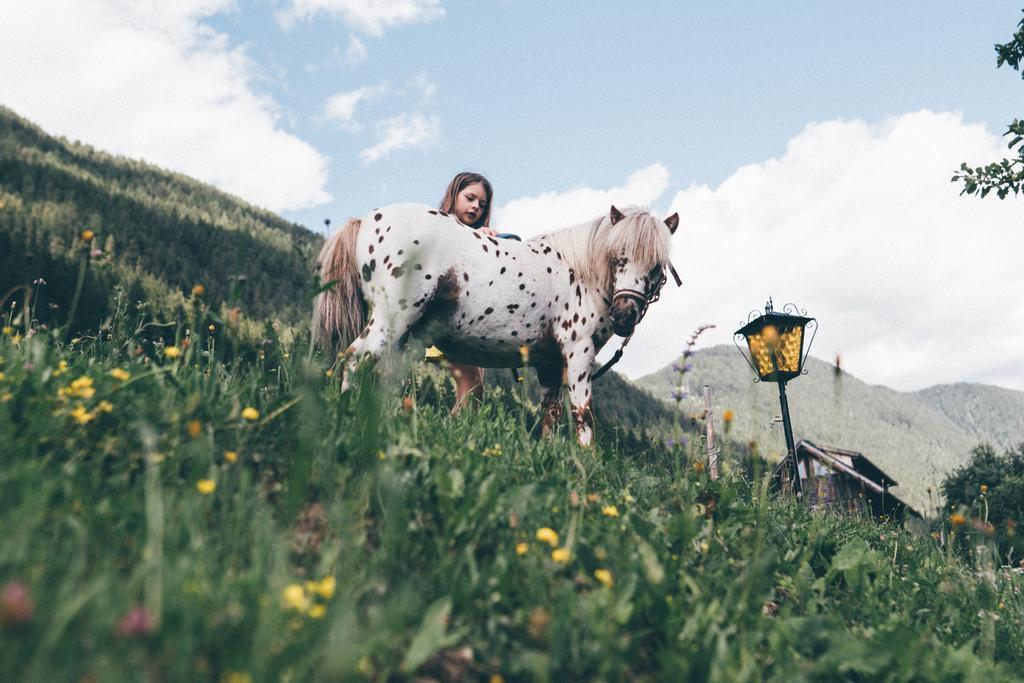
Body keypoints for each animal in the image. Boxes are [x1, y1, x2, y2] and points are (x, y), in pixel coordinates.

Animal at [313, 202, 679, 448]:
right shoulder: (578, 354)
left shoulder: (549, 366)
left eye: (657, 266)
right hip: (390, 323)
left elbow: (550, 414)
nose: (624, 315)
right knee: (354, 360)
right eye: (619, 257)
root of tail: (367, 219)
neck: (579, 272)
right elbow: (582, 412)